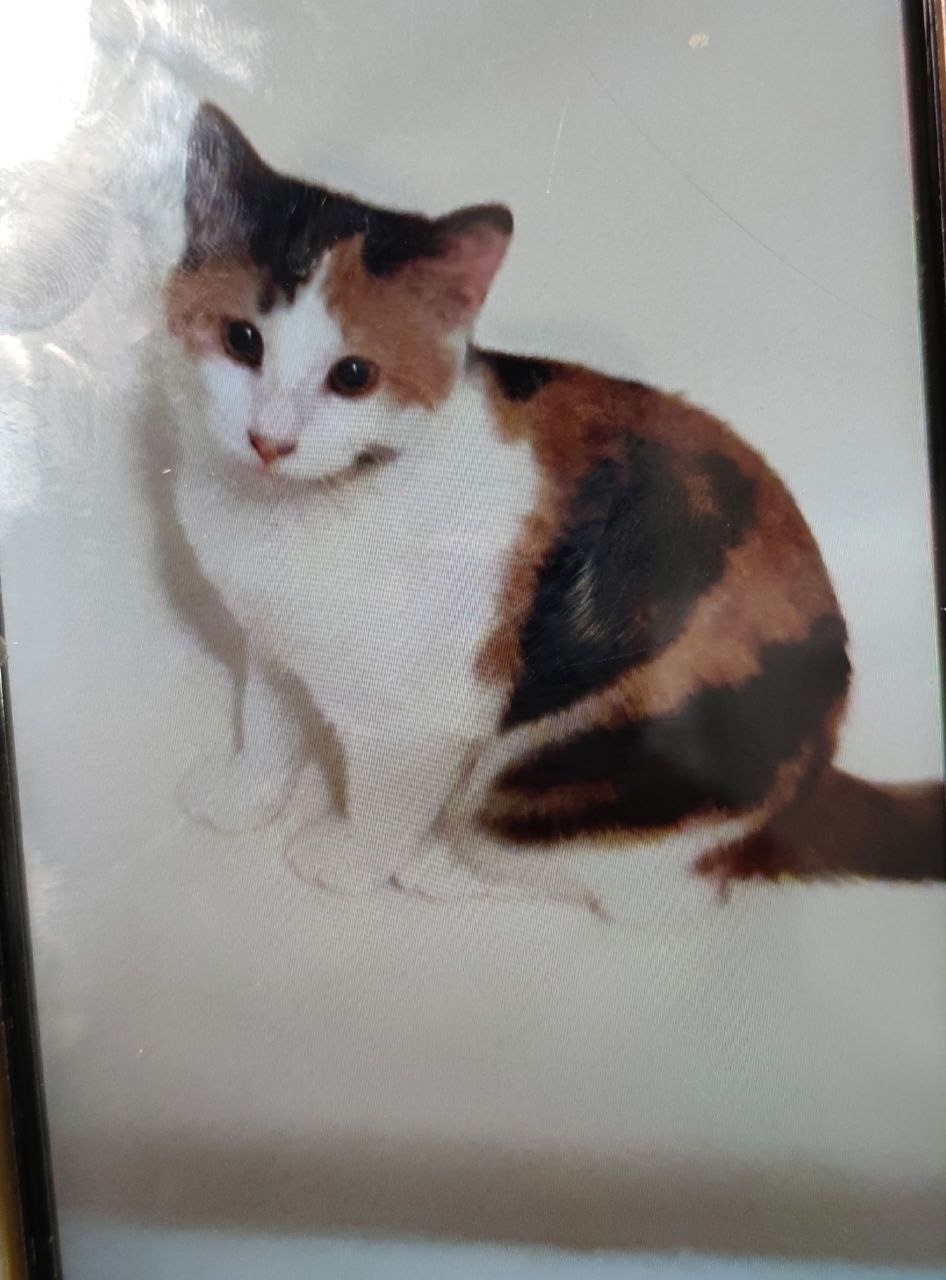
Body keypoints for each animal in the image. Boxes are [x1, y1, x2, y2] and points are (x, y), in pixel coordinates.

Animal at [160, 102, 944, 914]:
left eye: (353, 375)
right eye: (241, 339)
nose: (269, 440)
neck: (299, 508)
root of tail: (806, 787)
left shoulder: (429, 717)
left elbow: (386, 803)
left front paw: (346, 859)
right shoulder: (272, 639)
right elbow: (265, 721)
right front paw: (244, 794)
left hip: (575, 767)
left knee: (633, 889)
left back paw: (441, 866)